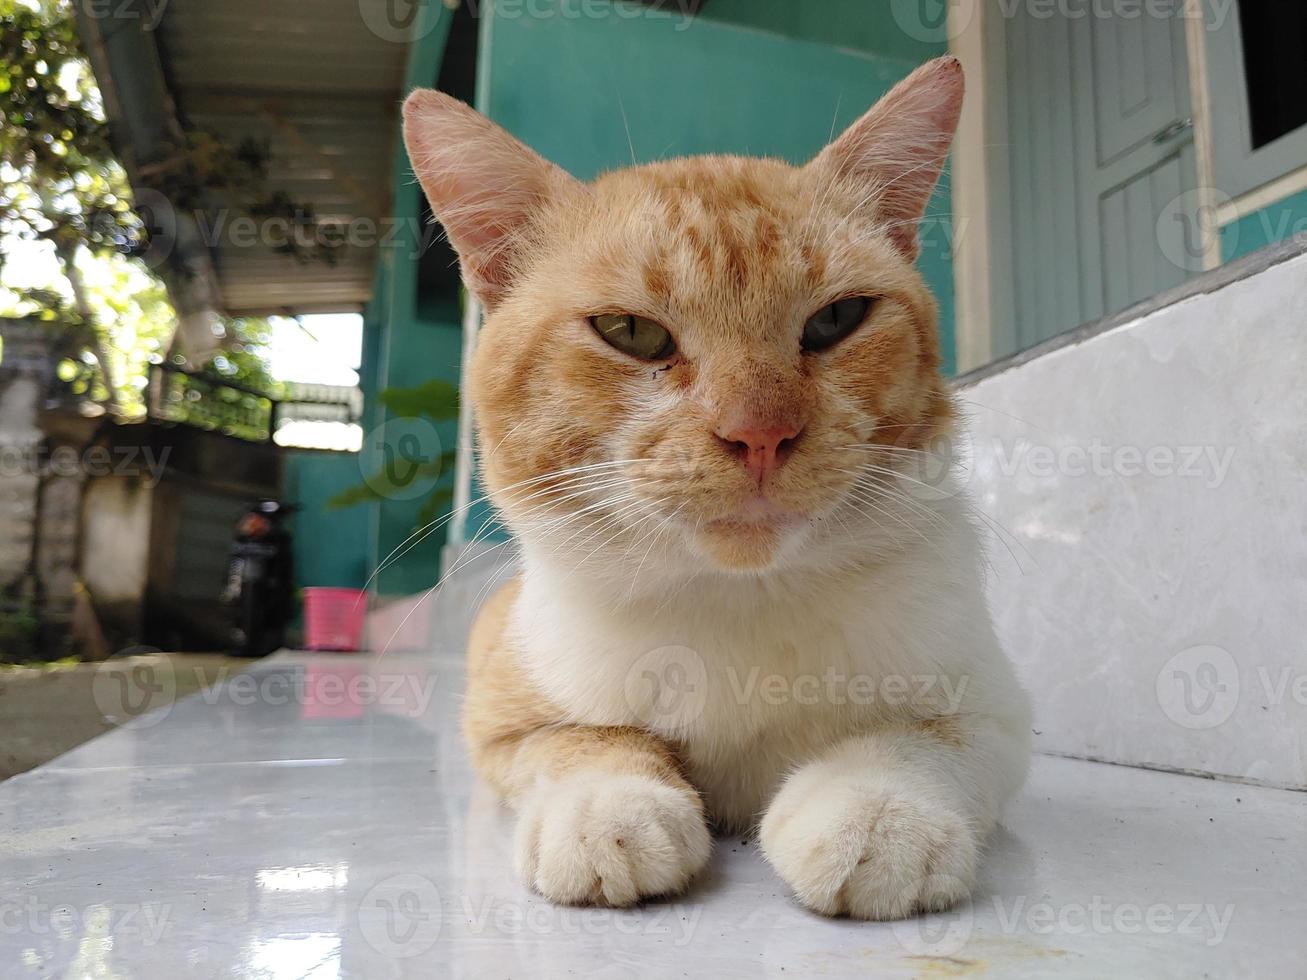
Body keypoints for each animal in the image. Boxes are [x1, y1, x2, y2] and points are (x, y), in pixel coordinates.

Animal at [402, 59, 1024, 919]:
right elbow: (580, 740)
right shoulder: (501, 724)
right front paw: (606, 807)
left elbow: (917, 738)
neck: (737, 599)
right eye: (630, 333)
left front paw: (876, 809)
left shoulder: (996, 713)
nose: (758, 432)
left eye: (837, 319)